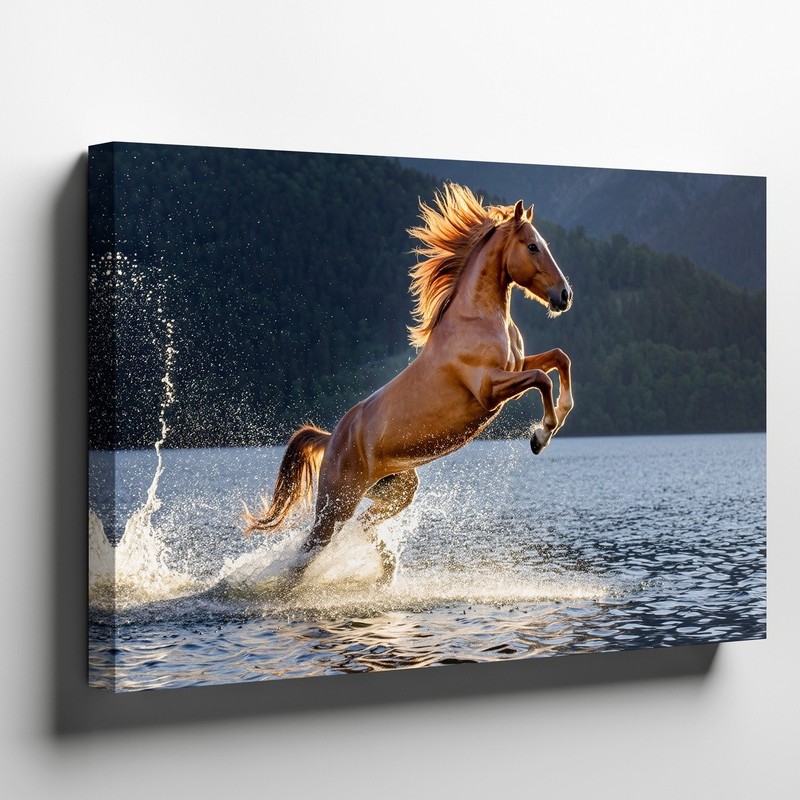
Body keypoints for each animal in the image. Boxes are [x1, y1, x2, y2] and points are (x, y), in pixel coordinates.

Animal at [244, 183, 574, 584]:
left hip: (397, 490)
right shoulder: (489, 389)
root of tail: (331, 437)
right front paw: (540, 436)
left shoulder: (516, 366)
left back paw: (387, 572)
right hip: (336, 503)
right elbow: (542, 378)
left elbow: (558, 359)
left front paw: (555, 420)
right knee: (309, 553)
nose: (564, 296)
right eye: (532, 246)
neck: (475, 318)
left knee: (365, 526)